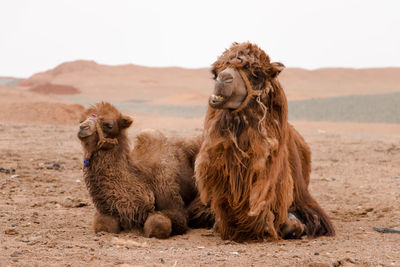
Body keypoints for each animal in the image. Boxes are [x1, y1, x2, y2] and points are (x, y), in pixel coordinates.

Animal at [79, 102, 216, 239]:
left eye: (109, 125)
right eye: (81, 120)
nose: (82, 128)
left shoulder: (175, 207)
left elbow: (158, 224)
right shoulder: (109, 211)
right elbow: (101, 225)